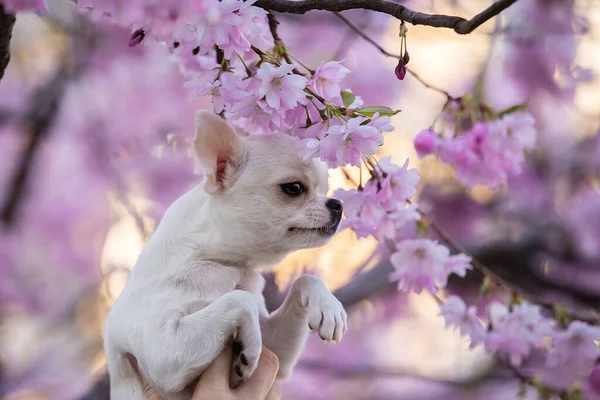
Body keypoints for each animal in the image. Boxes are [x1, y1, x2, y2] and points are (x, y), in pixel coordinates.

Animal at [103, 110, 346, 400]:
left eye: (325, 190)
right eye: (294, 188)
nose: (338, 204)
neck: (224, 263)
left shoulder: (276, 351)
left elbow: (304, 280)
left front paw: (329, 306)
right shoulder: (164, 354)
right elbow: (239, 298)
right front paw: (250, 345)